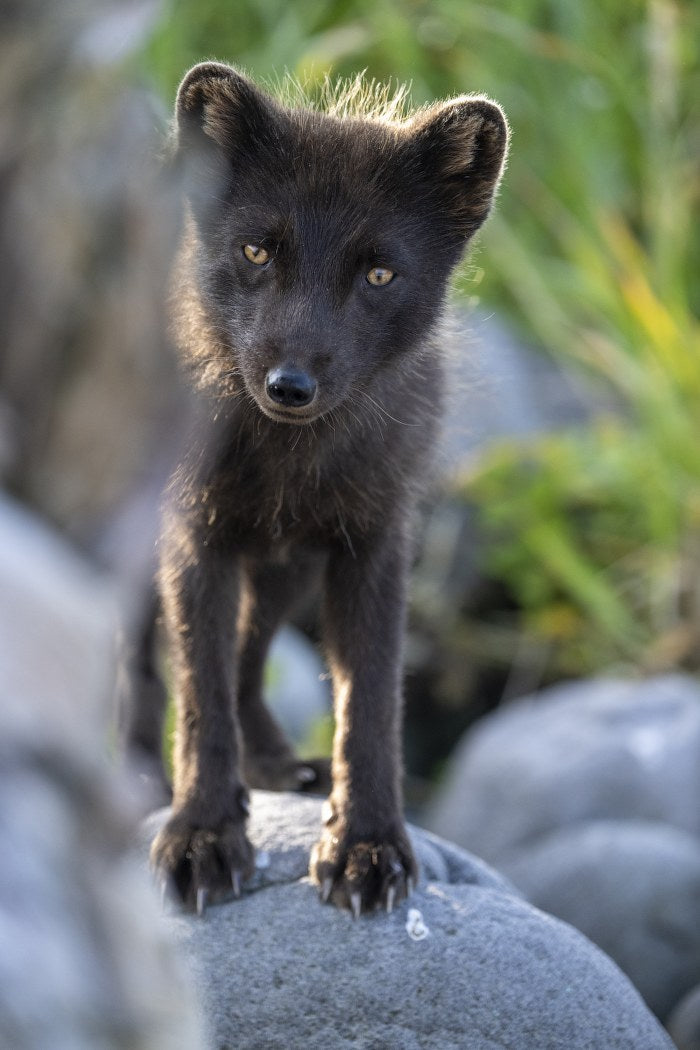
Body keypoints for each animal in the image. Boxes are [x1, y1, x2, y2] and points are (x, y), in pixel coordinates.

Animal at [144, 62, 509, 916]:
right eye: (255, 251)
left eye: (378, 273)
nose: (290, 385)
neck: (287, 457)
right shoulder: (193, 535)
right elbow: (198, 687)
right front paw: (201, 833)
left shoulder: (372, 542)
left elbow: (370, 699)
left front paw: (367, 845)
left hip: (287, 567)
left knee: (249, 657)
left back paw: (277, 769)